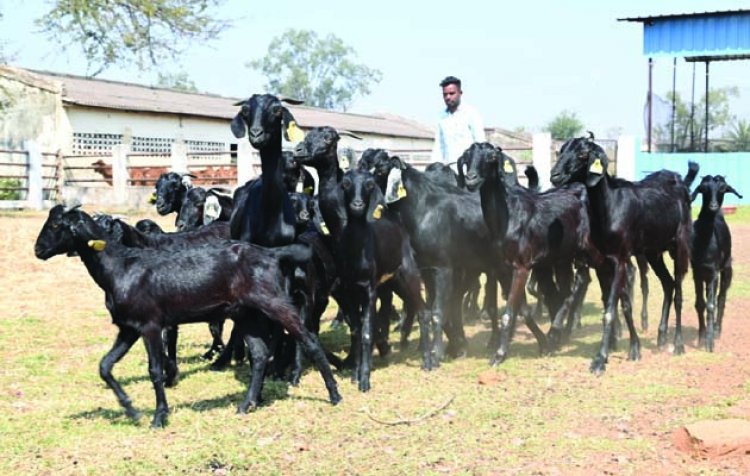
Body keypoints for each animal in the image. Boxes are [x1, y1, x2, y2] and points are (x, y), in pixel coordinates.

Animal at [34, 206, 340, 430]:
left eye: (56, 225)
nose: (38, 250)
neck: (120, 267)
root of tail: (272, 254)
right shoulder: (129, 327)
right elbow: (105, 366)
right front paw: (131, 409)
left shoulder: (150, 324)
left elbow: (154, 370)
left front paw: (159, 417)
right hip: (247, 313)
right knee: (260, 354)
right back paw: (246, 404)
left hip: (275, 302)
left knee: (309, 339)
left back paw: (334, 395)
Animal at [552, 134, 700, 376]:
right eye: (560, 151)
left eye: (583, 154)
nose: (554, 175)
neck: (610, 207)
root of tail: (680, 182)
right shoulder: (604, 262)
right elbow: (623, 304)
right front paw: (634, 348)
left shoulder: (620, 259)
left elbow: (611, 309)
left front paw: (600, 359)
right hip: (652, 251)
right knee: (668, 284)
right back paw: (660, 335)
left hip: (680, 245)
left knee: (678, 292)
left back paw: (678, 344)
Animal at [692, 174, 740, 350]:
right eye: (703, 188)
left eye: (723, 189)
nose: (713, 206)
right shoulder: (697, 272)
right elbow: (700, 303)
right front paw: (701, 337)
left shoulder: (713, 273)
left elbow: (711, 305)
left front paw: (709, 342)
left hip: (726, 268)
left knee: (721, 298)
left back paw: (717, 329)